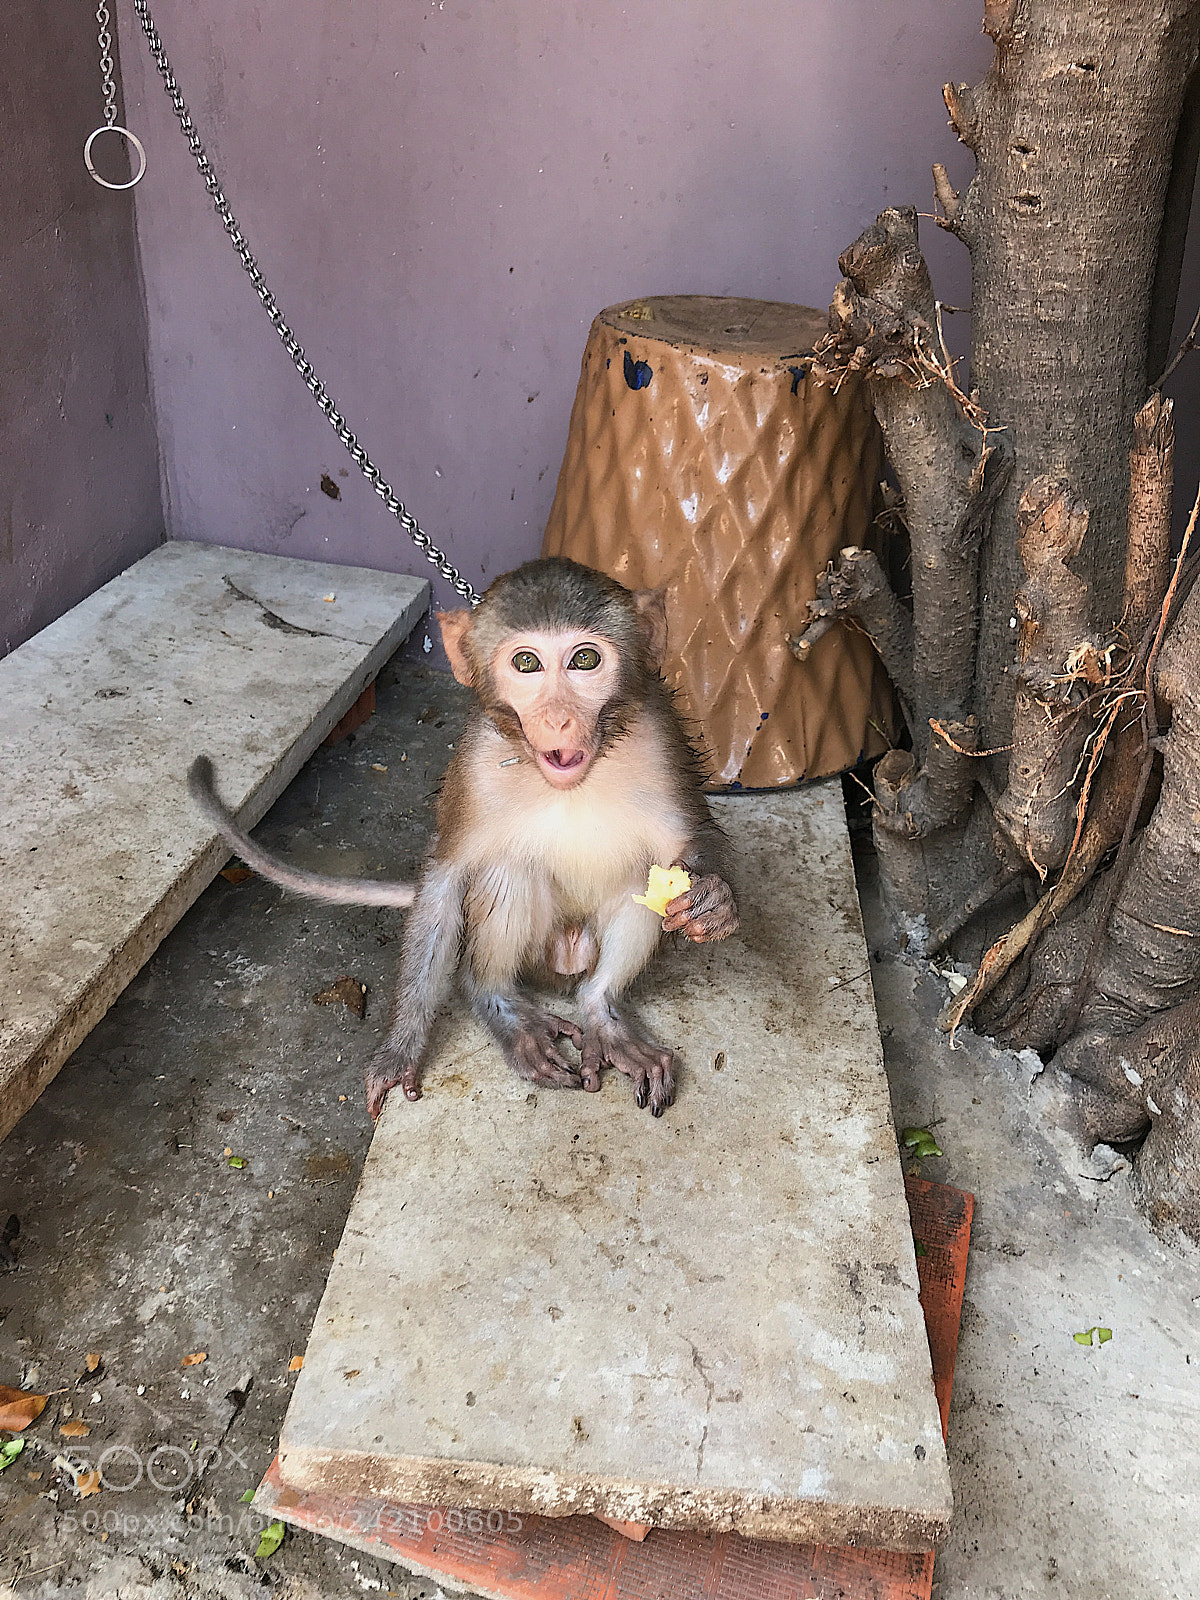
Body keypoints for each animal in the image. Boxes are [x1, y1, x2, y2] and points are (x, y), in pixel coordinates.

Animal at [189, 557, 738, 1120]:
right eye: (526, 663)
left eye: (585, 659)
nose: (558, 719)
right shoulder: (475, 766)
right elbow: (445, 876)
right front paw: (399, 1051)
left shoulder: (659, 738)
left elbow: (685, 845)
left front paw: (714, 902)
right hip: (533, 954)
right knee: (506, 871)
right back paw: (499, 1003)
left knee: (637, 876)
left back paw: (601, 1010)